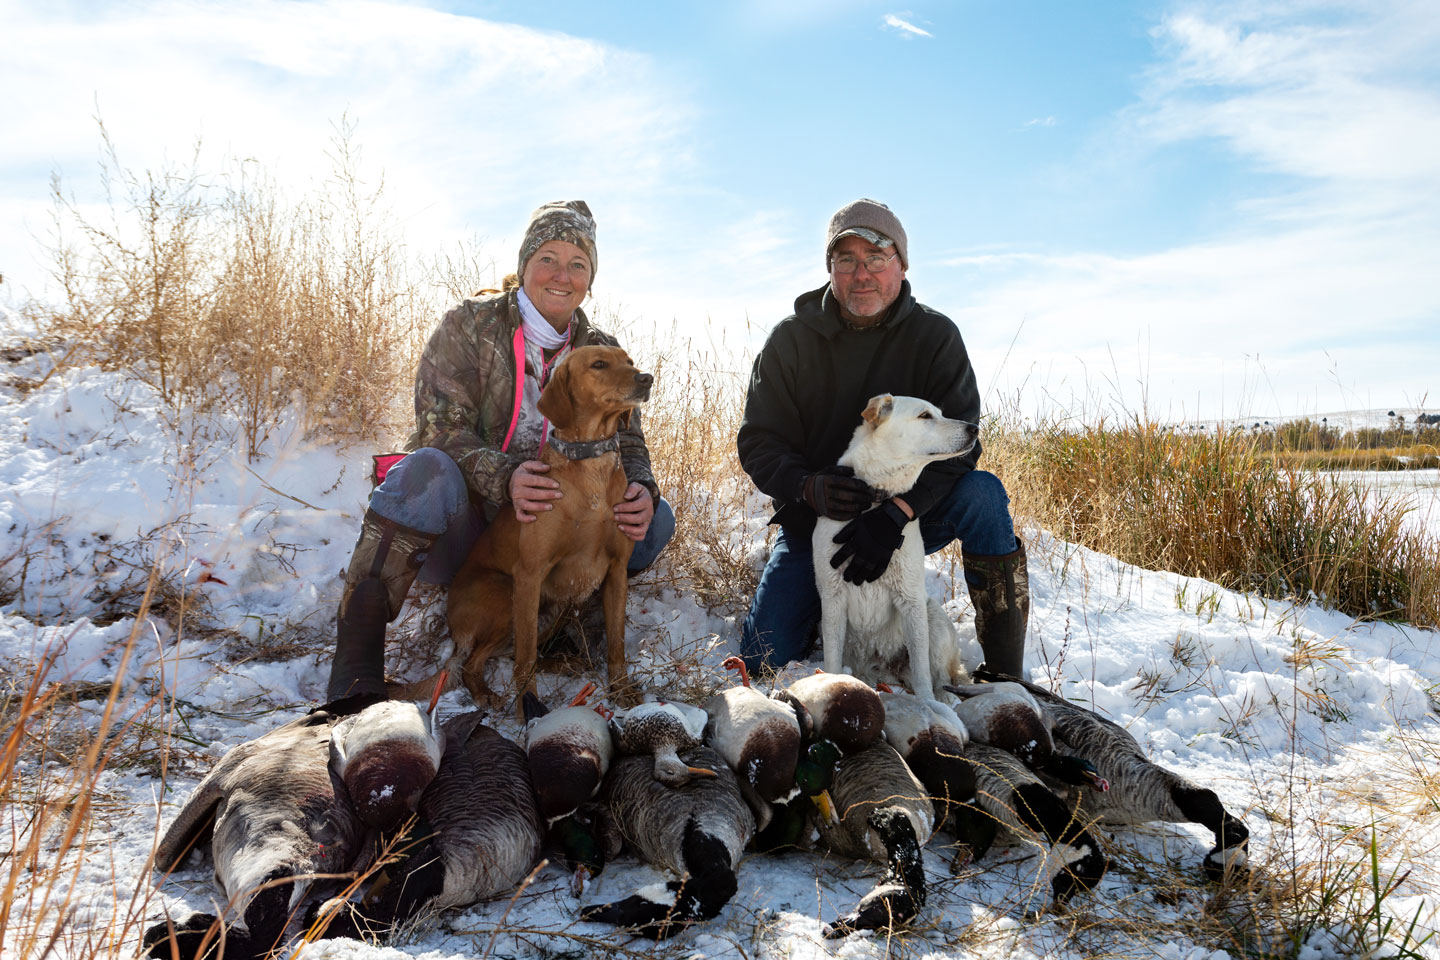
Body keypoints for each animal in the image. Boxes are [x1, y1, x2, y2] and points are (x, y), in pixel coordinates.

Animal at [812, 394, 979, 702]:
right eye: (925, 416)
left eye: (940, 413)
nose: (975, 428)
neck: (874, 504)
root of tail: (884, 666)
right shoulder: (832, 599)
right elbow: (831, 661)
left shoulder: (910, 600)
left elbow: (923, 673)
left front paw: (928, 706)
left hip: (934, 623)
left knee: (939, 677)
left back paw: (944, 699)